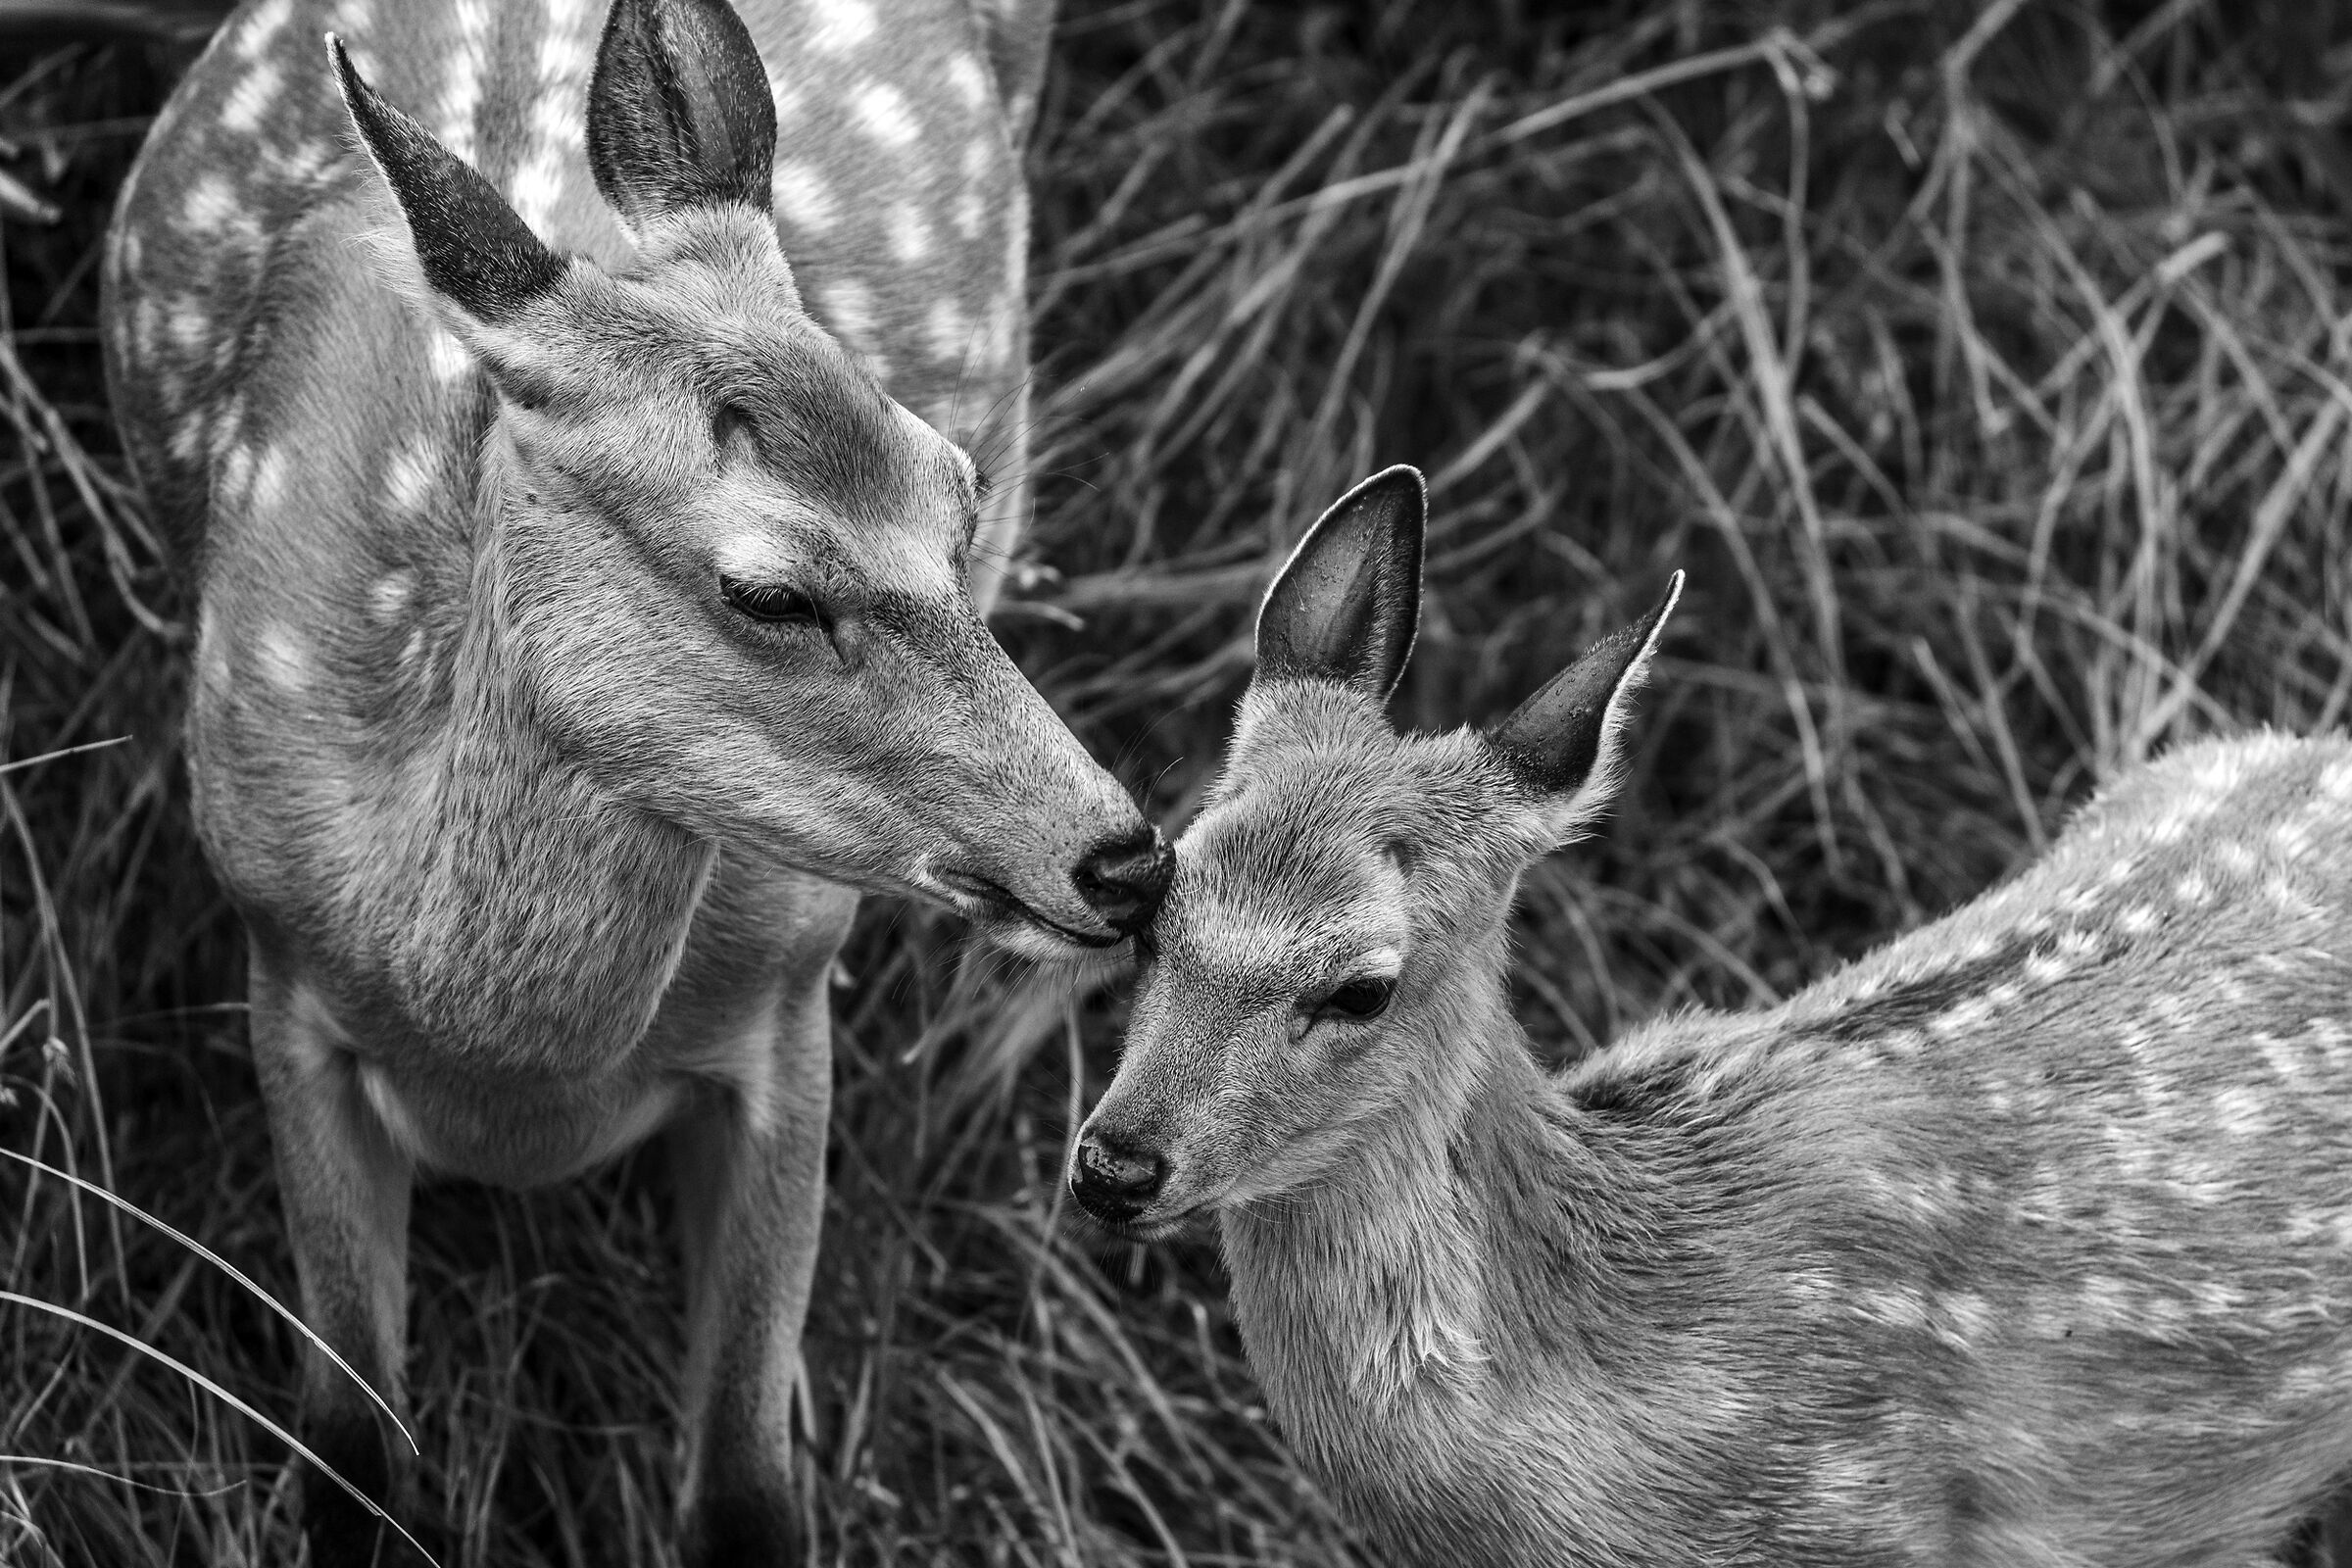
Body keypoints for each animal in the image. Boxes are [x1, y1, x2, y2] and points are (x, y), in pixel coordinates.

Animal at [99, 0, 1161, 1563]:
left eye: (958, 494)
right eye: (769, 591)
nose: (1127, 857)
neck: (507, 1066)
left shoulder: (789, 997)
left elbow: (746, 1491)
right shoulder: (277, 966)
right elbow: (349, 1458)